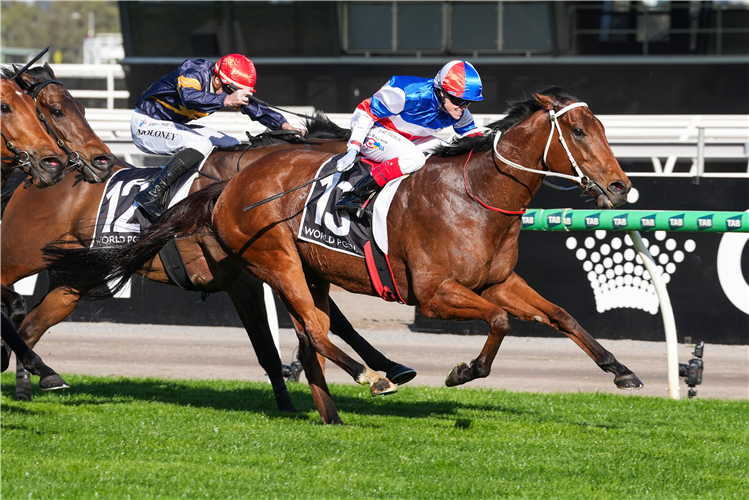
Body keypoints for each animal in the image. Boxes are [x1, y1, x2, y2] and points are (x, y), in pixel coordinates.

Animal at [2, 115, 414, 406]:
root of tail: (34, 177)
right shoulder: (247, 279)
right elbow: (271, 347)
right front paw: (292, 399)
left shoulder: (277, 268)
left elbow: (336, 321)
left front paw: (394, 367)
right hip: (19, 256)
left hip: (73, 282)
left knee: (31, 327)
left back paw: (37, 380)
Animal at [47, 87, 644, 424]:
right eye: (578, 130)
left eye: (602, 127)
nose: (621, 188)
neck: (473, 193)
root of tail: (228, 187)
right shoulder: (436, 294)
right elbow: (500, 321)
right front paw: (463, 370)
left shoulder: (496, 281)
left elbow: (561, 315)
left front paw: (621, 371)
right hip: (276, 259)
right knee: (313, 328)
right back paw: (370, 377)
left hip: (306, 269)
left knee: (312, 329)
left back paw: (339, 403)